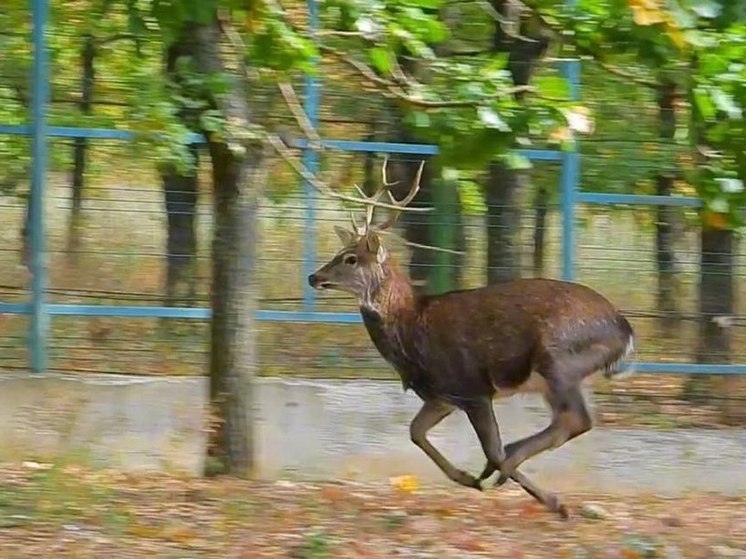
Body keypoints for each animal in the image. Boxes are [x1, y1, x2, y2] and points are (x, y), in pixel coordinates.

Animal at [306, 159, 632, 520]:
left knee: (573, 420)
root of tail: (624, 329)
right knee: (569, 420)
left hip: (558, 358)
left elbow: (491, 448)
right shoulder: (441, 395)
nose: (314, 277)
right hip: (560, 374)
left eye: (350, 258)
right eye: (341, 251)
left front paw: (527, 491)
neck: (411, 328)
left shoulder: (472, 387)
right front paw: (466, 478)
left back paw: (527, 480)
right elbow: (415, 432)